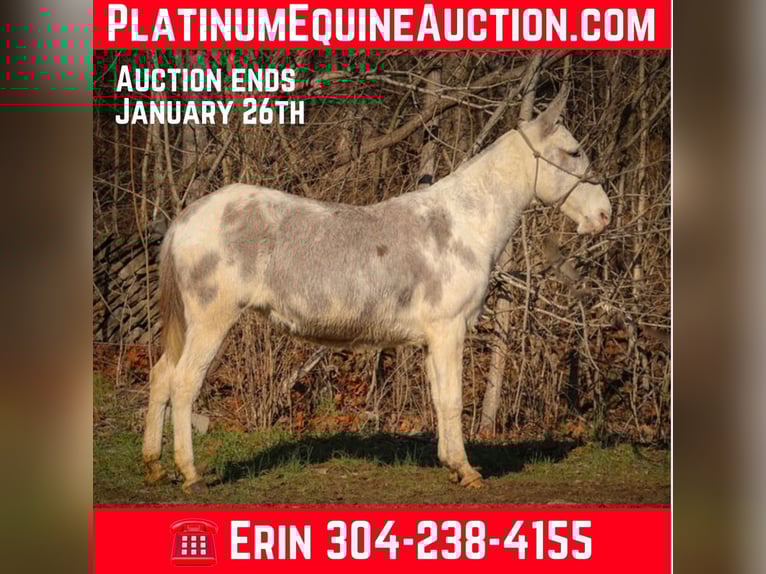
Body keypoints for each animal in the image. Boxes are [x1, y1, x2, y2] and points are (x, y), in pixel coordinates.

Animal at [142, 84, 612, 492]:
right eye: (574, 152)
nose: (605, 214)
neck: (463, 224)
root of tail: (188, 217)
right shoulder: (449, 329)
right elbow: (452, 399)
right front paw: (467, 470)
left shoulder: (433, 337)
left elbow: (439, 398)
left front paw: (450, 464)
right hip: (211, 318)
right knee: (184, 383)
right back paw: (190, 473)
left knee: (161, 375)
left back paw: (155, 467)